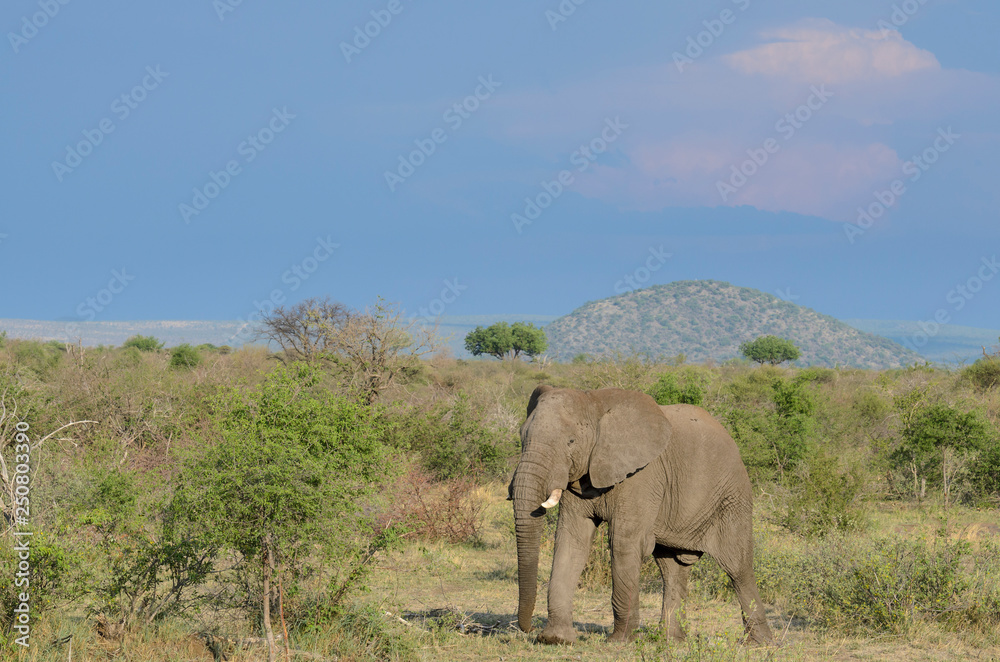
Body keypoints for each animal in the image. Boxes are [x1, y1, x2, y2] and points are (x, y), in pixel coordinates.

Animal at [509, 384, 773, 645]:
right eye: (521, 438)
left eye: (571, 441)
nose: (528, 628)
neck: (594, 402)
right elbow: (571, 541)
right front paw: (555, 639)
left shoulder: (642, 476)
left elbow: (622, 542)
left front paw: (619, 642)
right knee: (672, 568)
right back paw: (670, 641)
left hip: (731, 496)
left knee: (737, 566)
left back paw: (760, 643)